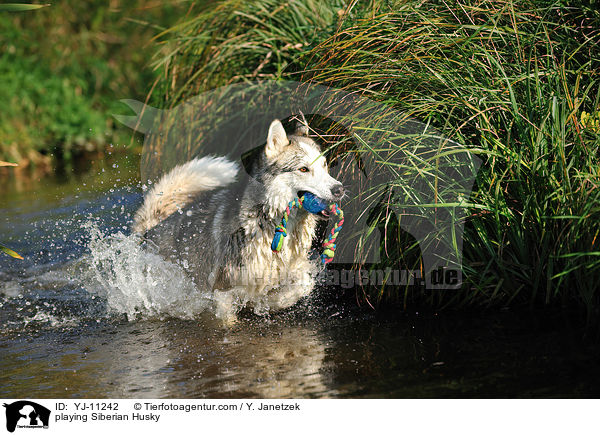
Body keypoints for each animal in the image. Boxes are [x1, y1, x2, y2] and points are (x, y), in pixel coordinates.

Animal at [133, 119, 344, 320]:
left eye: (324, 165)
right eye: (303, 169)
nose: (339, 189)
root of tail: (149, 230)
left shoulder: (293, 267)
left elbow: (305, 284)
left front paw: (276, 300)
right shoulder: (222, 290)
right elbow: (228, 319)